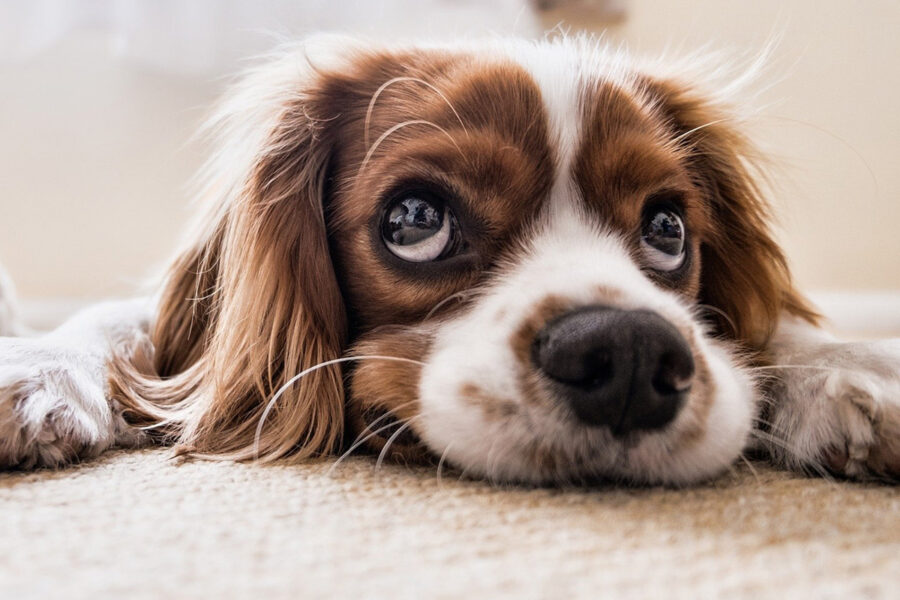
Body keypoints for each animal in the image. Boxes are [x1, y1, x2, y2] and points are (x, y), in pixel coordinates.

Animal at [1, 36, 900, 482]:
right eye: (415, 220)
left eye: (669, 228)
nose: (630, 355)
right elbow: (121, 321)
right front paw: (39, 367)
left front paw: (849, 368)